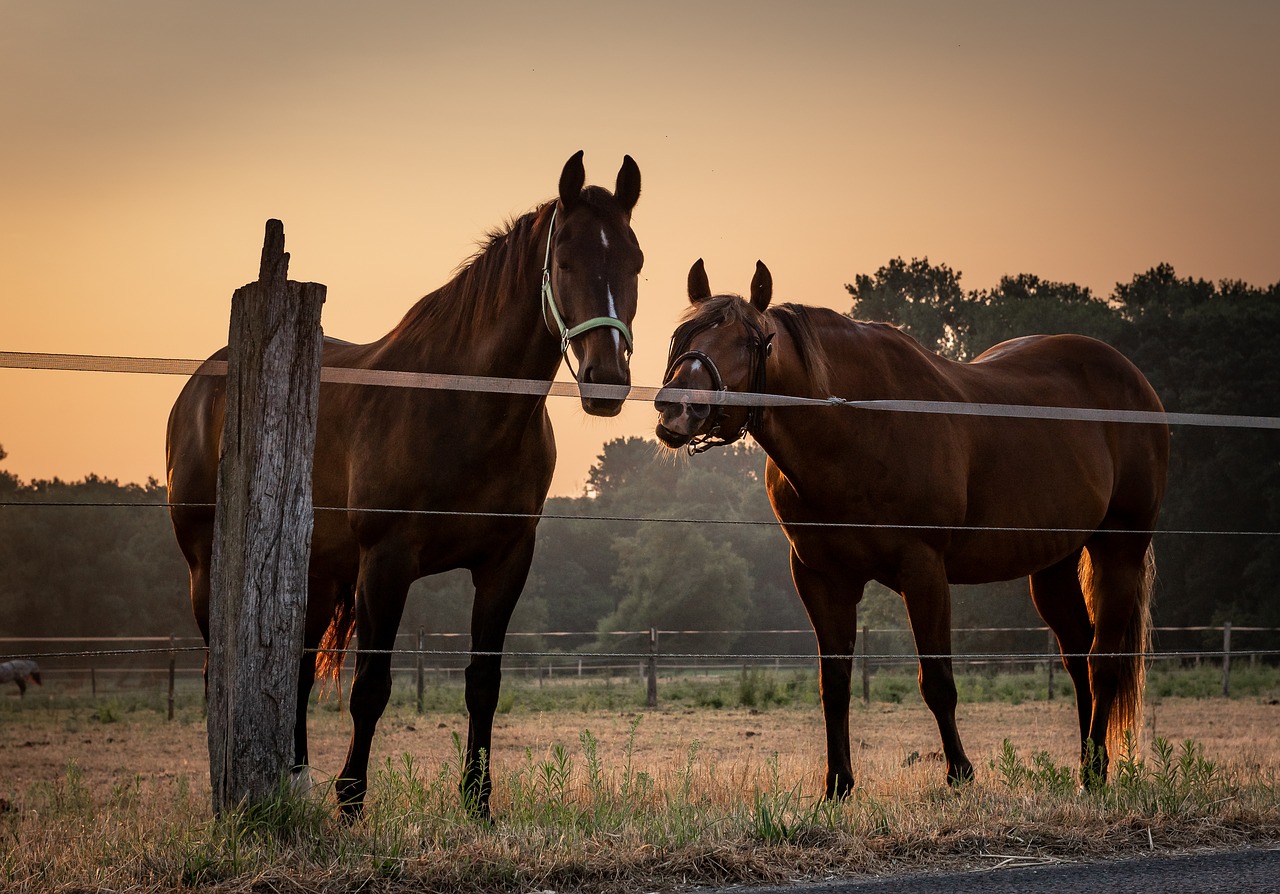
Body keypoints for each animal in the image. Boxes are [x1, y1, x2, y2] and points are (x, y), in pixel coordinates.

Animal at [170, 153, 645, 814]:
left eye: (635, 261)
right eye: (565, 259)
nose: (607, 378)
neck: (462, 408)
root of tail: (199, 386)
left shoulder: (505, 562)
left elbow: (483, 682)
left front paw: (477, 800)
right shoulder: (386, 562)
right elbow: (371, 685)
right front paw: (350, 800)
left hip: (315, 574)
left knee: (295, 669)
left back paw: (292, 777)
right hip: (208, 568)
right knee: (223, 673)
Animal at [660, 257, 1172, 788]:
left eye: (750, 342)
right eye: (682, 334)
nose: (676, 407)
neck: (856, 428)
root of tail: (1137, 384)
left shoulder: (923, 569)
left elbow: (937, 680)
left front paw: (960, 772)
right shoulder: (821, 577)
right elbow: (834, 683)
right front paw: (838, 784)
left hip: (1120, 551)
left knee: (1103, 660)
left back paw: (1096, 769)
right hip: (1054, 564)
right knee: (1077, 657)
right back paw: (1089, 766)